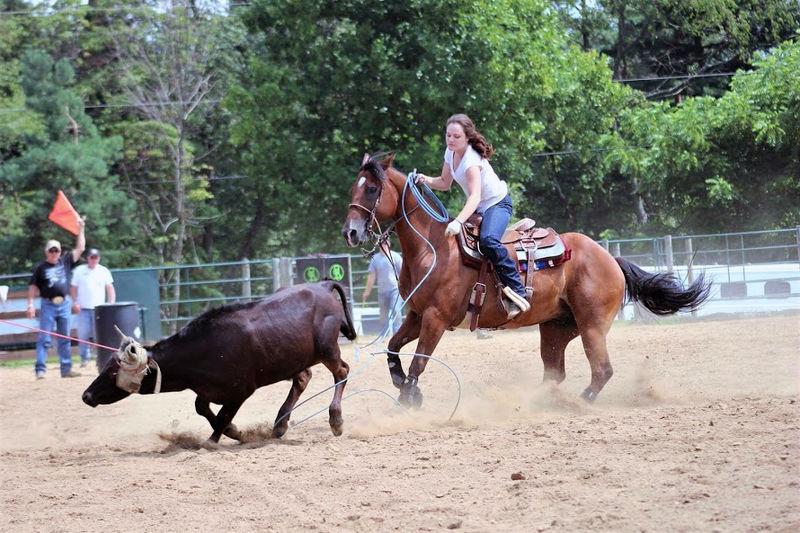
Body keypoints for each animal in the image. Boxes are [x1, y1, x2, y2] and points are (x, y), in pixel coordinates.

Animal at [340, 152, 708, 406]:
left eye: (371, 188)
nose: (350, 232)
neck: (433, 248)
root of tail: (609, 259)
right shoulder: (416, 314)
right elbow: (392, 349)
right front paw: (402, 385)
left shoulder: (436, 319)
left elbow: (418, 363)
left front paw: (408, 399)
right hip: (557, 327)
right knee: (554, 373)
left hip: (592, 325)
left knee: (601, 370)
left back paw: (575, 403)